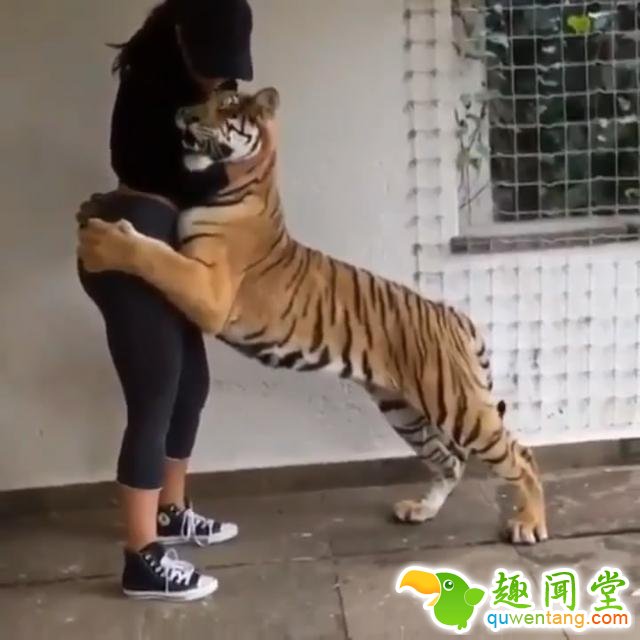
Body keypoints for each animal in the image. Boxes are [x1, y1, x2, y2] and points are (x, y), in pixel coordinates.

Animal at [77, 86, 548, 545]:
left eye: (225, 105)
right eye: (200, 98)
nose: (182, 115)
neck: (235, 181)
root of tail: (451, 314)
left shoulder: (209, 289)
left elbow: (153, 256)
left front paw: (103, 240)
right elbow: (157, 251)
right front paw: (96, 208)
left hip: (457, 404)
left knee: (520, 455)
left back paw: (528, 524)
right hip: (403, 409)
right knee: (449, 460)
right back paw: (421, 510)